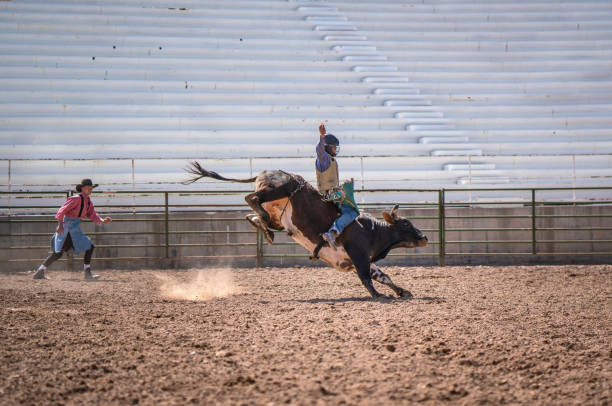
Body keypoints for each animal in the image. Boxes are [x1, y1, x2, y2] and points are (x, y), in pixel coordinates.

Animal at [184, 162, 428, 298]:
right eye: (405, 224)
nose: (424, 236)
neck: (373, 230)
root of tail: (267, 171)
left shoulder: (360, 259)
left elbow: (383, 275)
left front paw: (402, 291)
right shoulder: (358, 255)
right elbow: (366, 278)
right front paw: (379, 296)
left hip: (278, 214)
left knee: (253, 215)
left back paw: (265, 229)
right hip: (280, 188)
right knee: (250, 198)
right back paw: (262, 219)